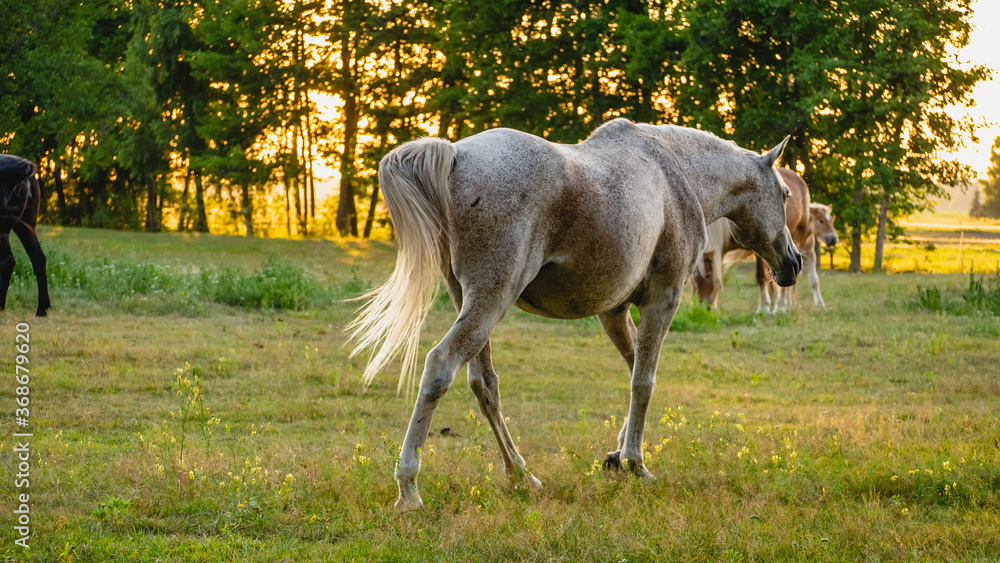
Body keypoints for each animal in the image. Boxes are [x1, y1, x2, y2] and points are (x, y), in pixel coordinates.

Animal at [350, 119, 801, 510]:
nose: (793, 263)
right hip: (489, 300)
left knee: (484, 385)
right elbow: (644, 381)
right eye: (785, 194)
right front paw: (636, 463)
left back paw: (521, 474)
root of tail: (457, 155)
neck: (676, 173)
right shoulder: (664, 298)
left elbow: (634, 370)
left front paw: (616, 455)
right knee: (440, 367)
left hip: (469, 302)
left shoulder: (614, 311)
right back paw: (409, 488)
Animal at [692, 168, 837, 312]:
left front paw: (765, 308)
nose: (701, 306)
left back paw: (783, 306)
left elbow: (763, 277)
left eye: (708, 276)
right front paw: (768, 305)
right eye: (693, 280)